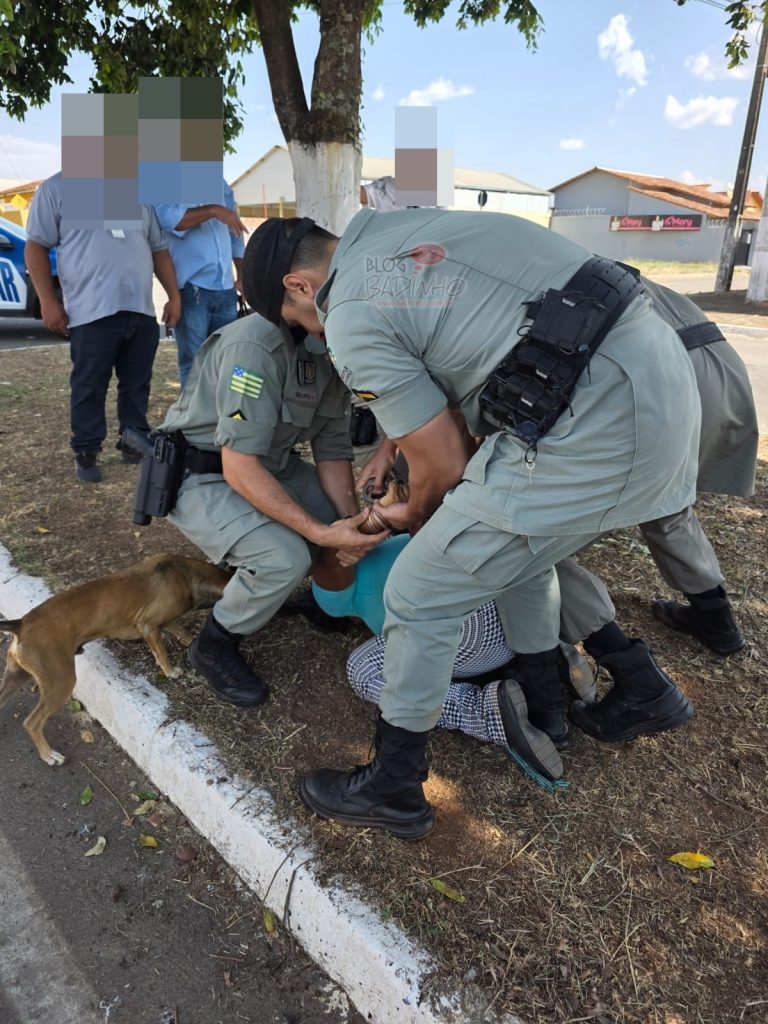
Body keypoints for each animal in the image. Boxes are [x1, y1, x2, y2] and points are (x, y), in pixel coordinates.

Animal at [0, 553, 231, 766]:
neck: (186, 573)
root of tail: (21, 624)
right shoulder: (148, 625)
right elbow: (161, 652)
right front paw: (170, 671)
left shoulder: (167, 623)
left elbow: (184, 633)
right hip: (60, 682)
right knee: (32, 723)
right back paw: (48, 755)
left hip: (17, 675)